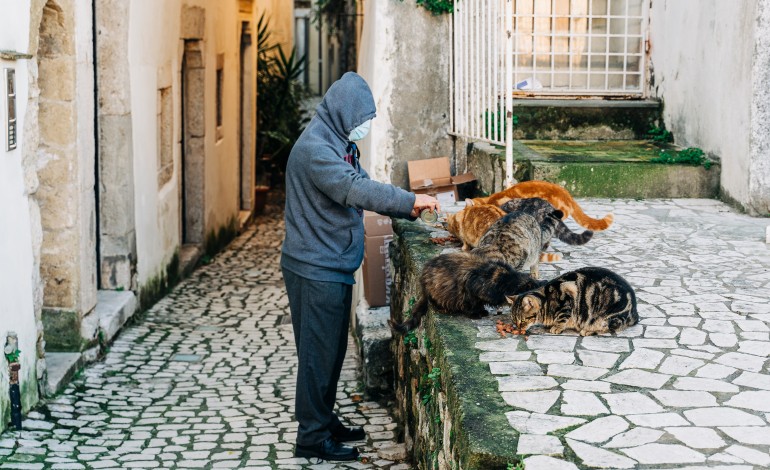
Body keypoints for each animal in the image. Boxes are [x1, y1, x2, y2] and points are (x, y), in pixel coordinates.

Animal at [508, 266, 640, 336]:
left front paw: (556, 327)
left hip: (608, 317)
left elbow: (562, 317)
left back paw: (587, 330)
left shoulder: (567, 298)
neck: (546, 300)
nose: (518, 328)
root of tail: (635, 312)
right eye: (514, 320)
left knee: (609, 327)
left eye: (523, 320)